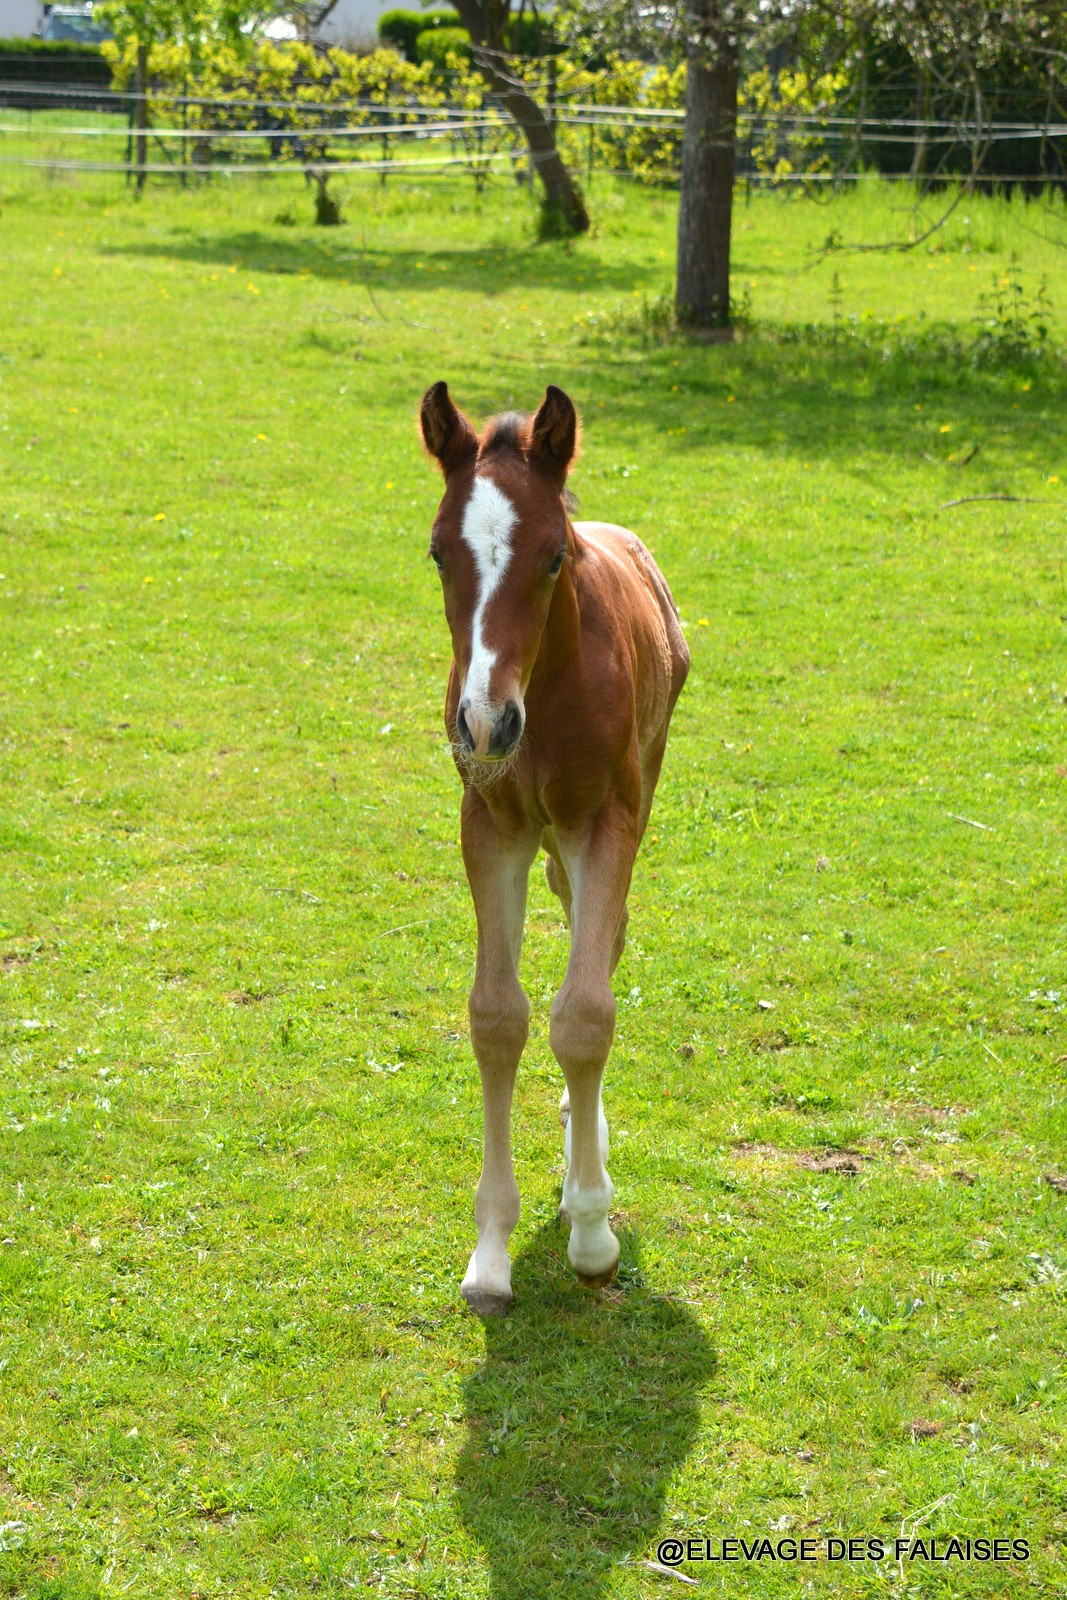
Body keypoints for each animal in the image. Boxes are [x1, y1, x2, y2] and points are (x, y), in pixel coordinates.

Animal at [422, 377, 687, 1312]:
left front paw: (592, 1228)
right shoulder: (490, 826)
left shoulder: (605, 821)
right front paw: (490, 1251)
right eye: (438, 555)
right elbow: (497, 1016)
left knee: (602, 944)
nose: (484, 723)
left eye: (551, 557)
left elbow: (584, 1014)